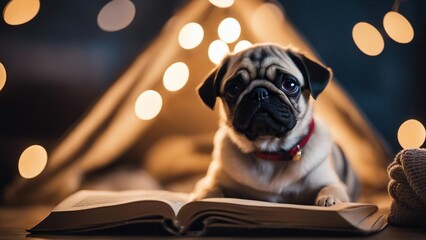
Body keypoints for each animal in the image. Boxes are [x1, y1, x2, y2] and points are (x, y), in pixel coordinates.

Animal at [193, 43, 360, 206]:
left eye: (290, 84)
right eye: (233, 89)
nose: (259, 92)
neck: (271, 150)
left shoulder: (331, 182)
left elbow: (331, 188)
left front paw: (329, 199)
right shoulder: (212, 180)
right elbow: (209, 187)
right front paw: (202, 197)